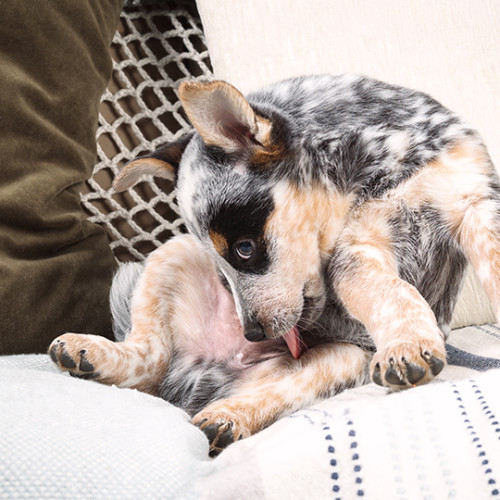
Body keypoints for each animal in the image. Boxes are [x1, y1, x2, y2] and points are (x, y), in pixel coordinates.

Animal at [49, 75, 500, 458]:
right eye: (222, 270)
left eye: (244, 249)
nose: (251, 334)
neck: (378, 160)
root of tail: (201, 378)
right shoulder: (355, 249)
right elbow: (390, 291)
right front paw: (407, 345)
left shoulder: (476, 203)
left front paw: (407, 344)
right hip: (172, 254)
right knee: (148, 361)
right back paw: (94, 353)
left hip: (343, 359)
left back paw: (224, 417)